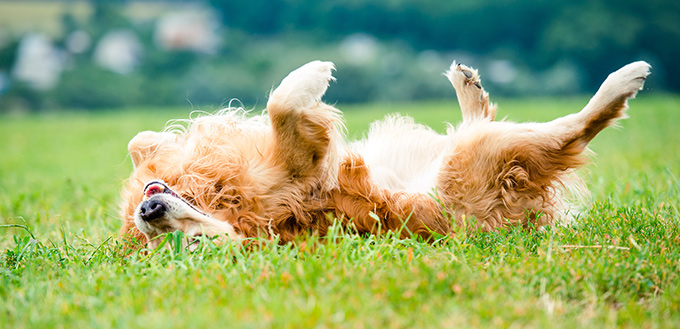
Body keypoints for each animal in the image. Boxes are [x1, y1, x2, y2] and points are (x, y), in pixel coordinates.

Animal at [119, 59, 652, 249]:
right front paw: (312, 77)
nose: (150, 211)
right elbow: (283, 104)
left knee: (483, 118)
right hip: (481, 154)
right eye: (190, 245)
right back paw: (624, 80)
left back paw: (467, 84)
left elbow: (138, 139)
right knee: (574, 130)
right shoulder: (298, 173)